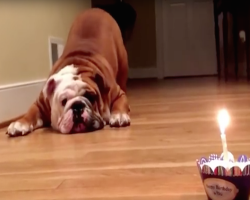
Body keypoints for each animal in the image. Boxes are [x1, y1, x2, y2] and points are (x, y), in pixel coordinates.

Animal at [6, 7, 131, 136]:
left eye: (91, 97)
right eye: (64, 101)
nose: (77, 106)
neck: (78, 66)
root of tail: (95, 9)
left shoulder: (118, 93)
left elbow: (120, 103)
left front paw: (119, 115)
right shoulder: (40, 104)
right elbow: (31, 113)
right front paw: (20, 123)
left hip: (123, 64)